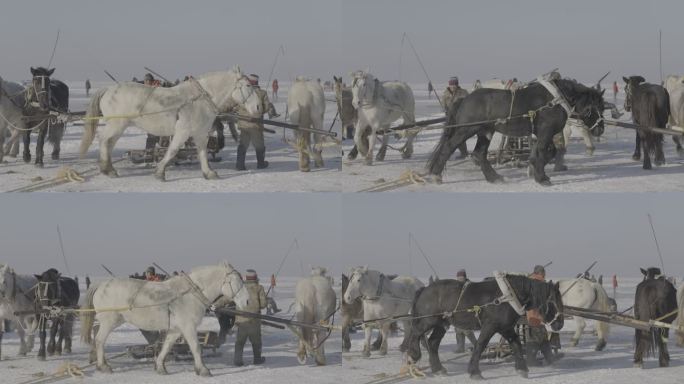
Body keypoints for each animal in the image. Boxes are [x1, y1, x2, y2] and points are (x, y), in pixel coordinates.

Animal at [79, 67, 262, 181]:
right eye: (248, 85)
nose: (258, 107)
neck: (198, 100)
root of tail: (108, 90)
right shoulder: (183, 131)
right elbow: (173, 150)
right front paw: (160, 172)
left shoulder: (200, 133)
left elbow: (202, 153)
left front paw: (209, 173)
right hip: (116, 124)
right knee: (104, 141)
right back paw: (107, 170)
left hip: (119, 127)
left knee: (109, 143)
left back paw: (109, 169)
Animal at [81, 262, 248, 376]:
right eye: (236, 281)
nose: (247, 301)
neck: (190, 294)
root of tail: (101, 285)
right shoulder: (188, 326)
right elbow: (196, 347)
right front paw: (203, 370)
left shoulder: (176, 329)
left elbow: (166, 347)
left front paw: (160, 366)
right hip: (110, 321)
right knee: (99, 340)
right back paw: (103, 366)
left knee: (97, 335)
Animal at [400, 274, 560, 380]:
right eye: (552, 301)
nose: (559, 324)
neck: (508, 296)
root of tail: (424, 289)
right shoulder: (490, 326)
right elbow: (480, 345)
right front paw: (474, 372)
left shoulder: (505, 328)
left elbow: (516, 344)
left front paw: (522, 369)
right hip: (428, 320)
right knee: (415, 333)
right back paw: (413, 355)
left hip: (442, 324)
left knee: (433, 343)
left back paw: (438, 369)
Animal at [428, 75, 604, 186]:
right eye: (591, 108)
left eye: (603, 106)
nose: (600, 130)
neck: (555, 100)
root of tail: (464, 98)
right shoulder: (545, 131)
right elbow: (543, 151)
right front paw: (541, 178)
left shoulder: (542, 133)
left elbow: (548, 152)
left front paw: (533, 169)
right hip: (466, 130)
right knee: (449, 147)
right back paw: (436, 175)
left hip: (486, 132)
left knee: (479, 154)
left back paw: (494, 177)